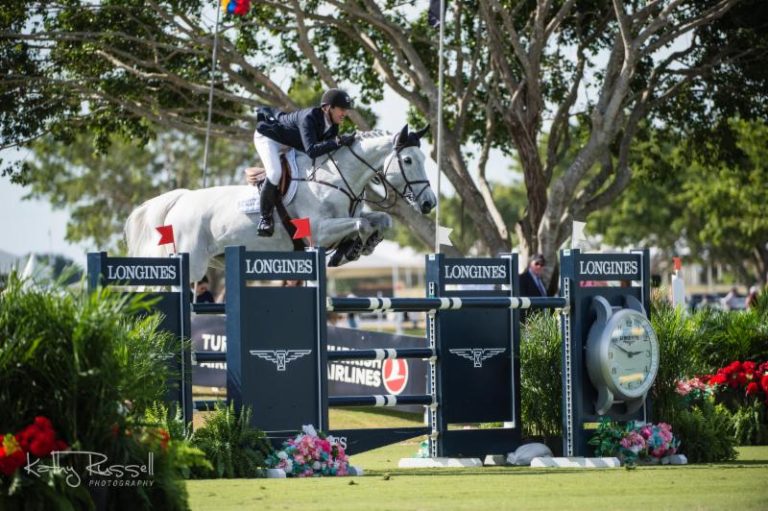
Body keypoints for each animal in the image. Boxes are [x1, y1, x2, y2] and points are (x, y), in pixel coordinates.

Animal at [129, 125, 436, 282]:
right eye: (408, 160)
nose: (429, 204)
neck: (335, 176)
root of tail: (181, 199)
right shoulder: (319, 231)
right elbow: (361, 223)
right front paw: (350, 249)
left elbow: (381, 220)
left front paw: (360, 246)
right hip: (192, 263)